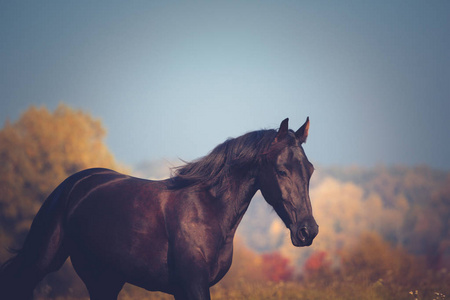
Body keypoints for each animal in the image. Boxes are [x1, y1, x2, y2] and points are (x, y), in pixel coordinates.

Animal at [0, 118, 320, 298]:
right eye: (281, 170)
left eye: (310, 170)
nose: (308, 231)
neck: (208, 211)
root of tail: (72, 186)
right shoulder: (193, 285)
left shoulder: (184, 289)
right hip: (45, 263)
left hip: (104, 280)